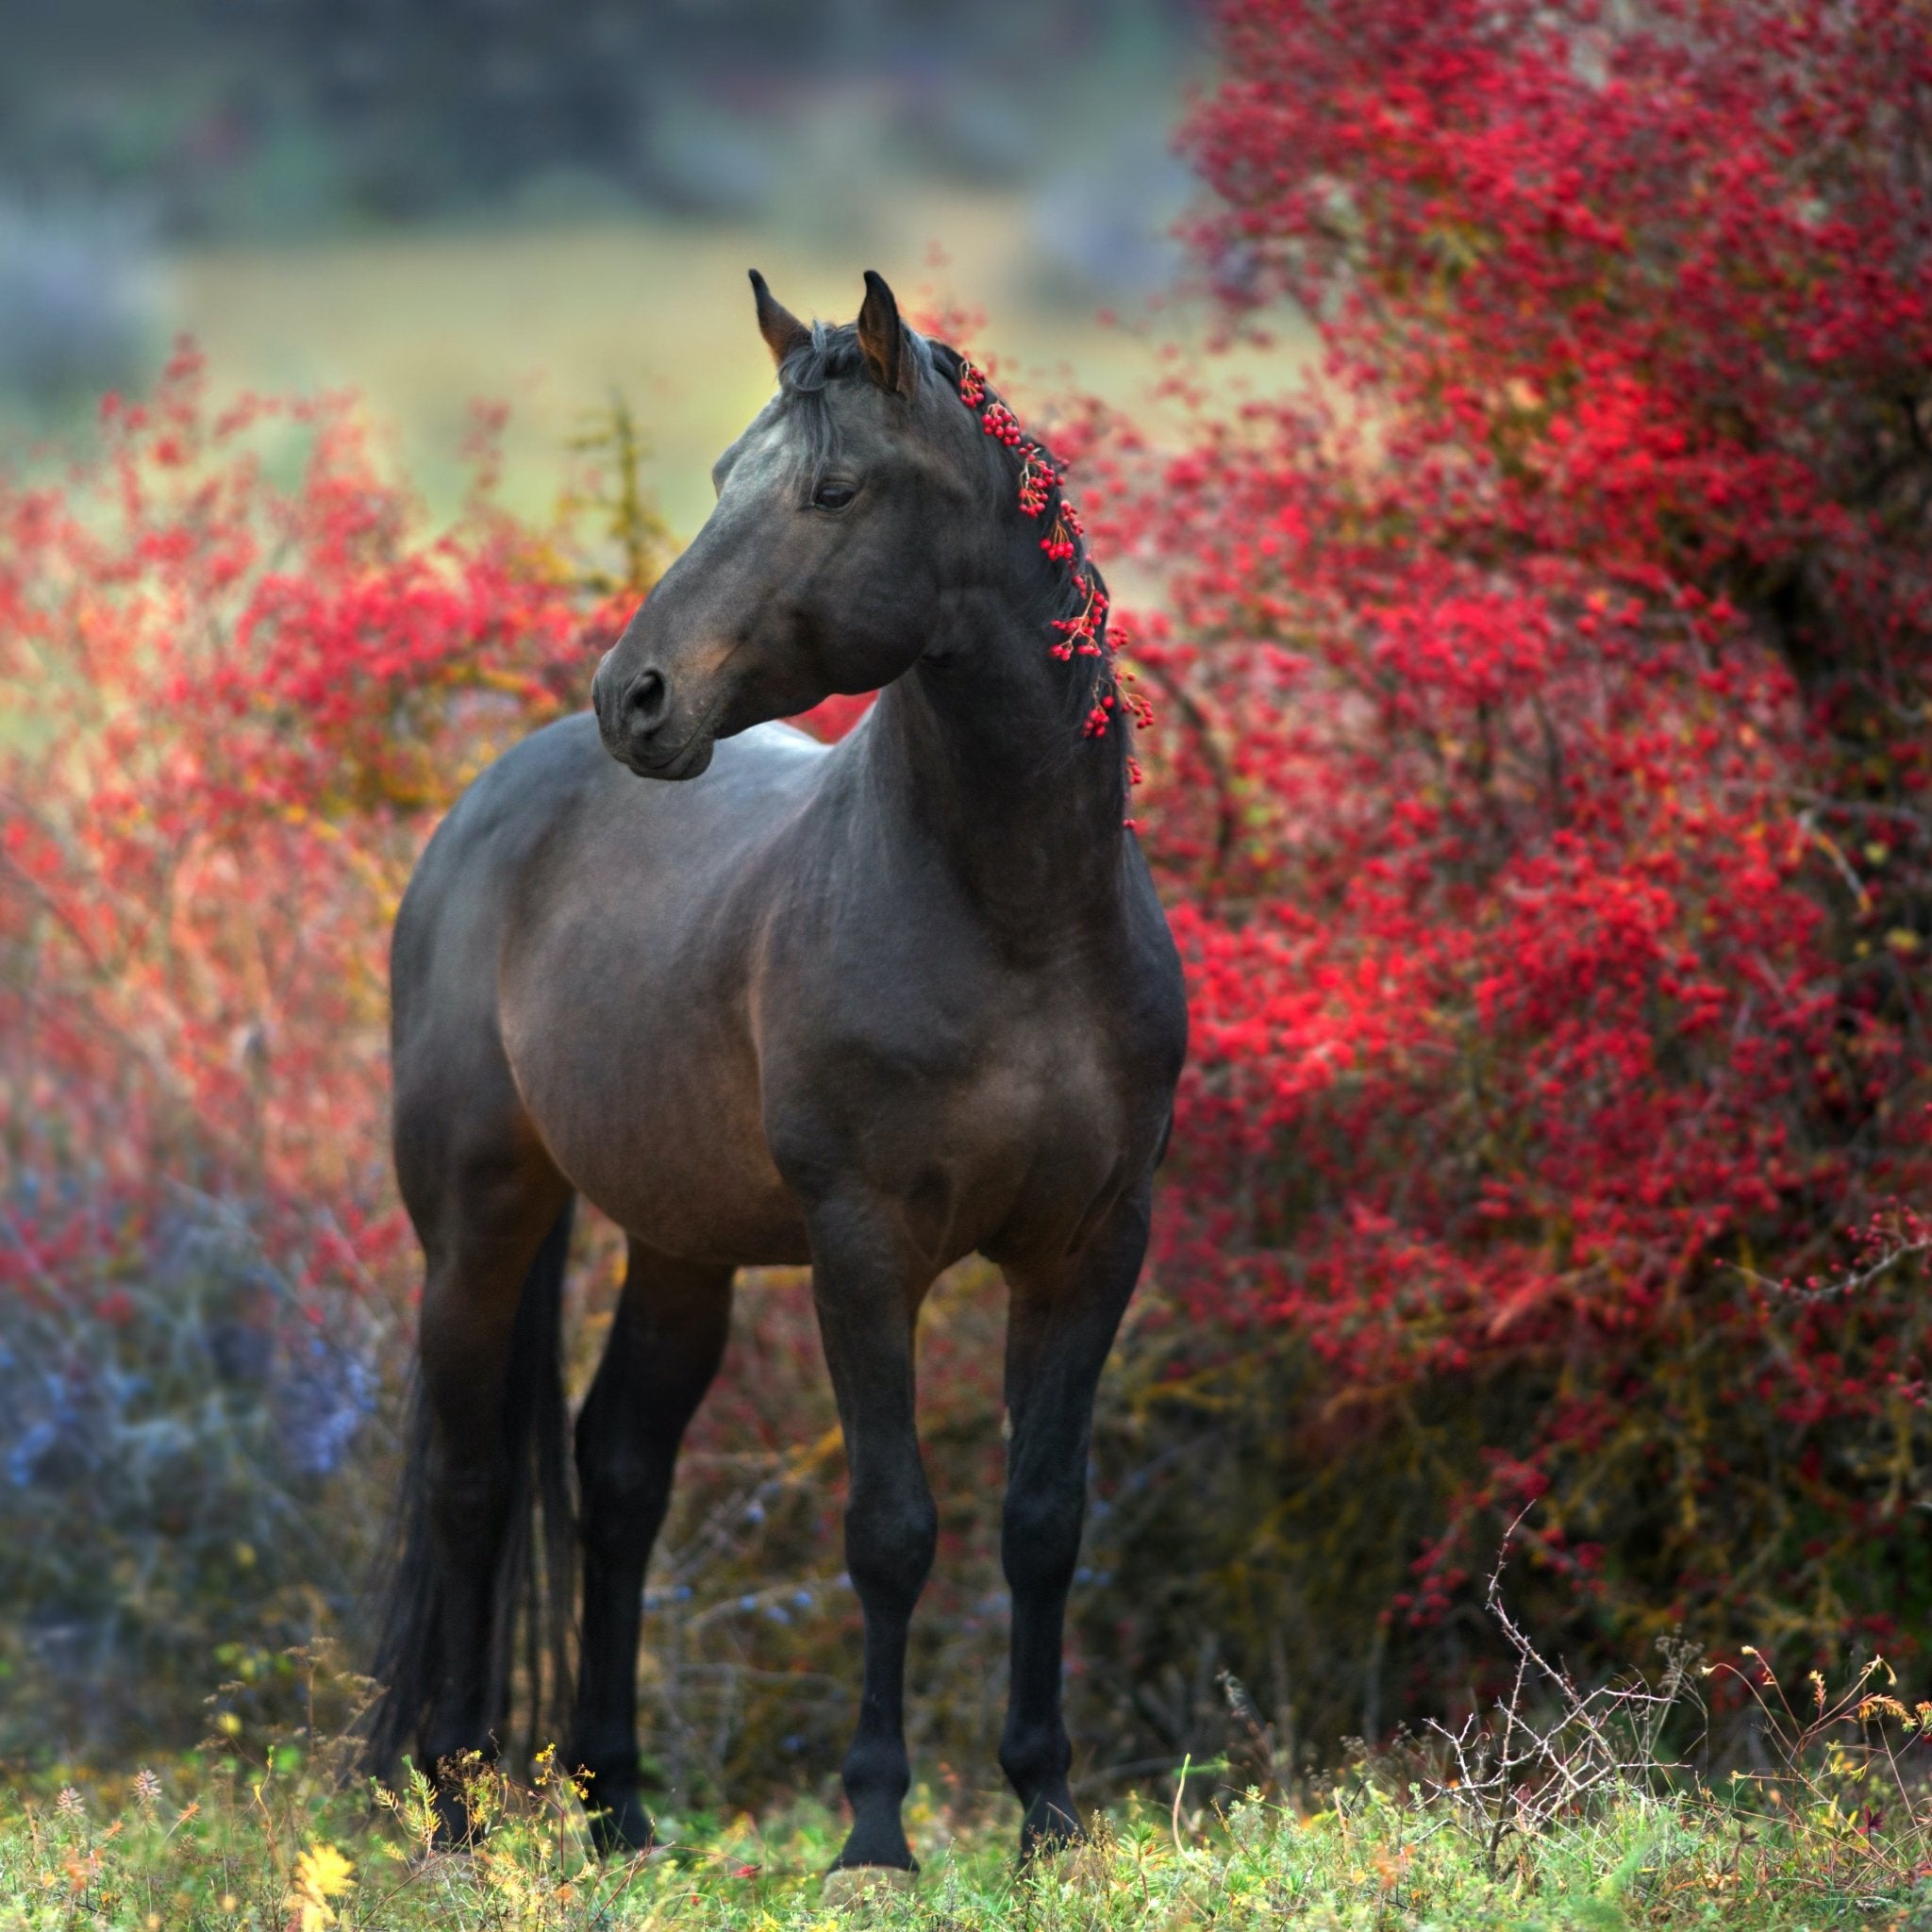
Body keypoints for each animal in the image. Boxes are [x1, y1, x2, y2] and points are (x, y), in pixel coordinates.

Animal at [360, 272, 1174, 1870]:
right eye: (724, 477)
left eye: (833, 489)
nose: (635, 698)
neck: (1021, 918)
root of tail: (495, 797)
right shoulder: (865, 1249)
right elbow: (892, 1528)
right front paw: (876, 1834)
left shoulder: (1089, 1250)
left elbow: (1044, 1521)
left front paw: (1046, 1811)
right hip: (482, 1222)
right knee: (473, 1484)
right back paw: (454, 1809)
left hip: (682, 1242)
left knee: (618, 1470)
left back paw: (616, 1807)